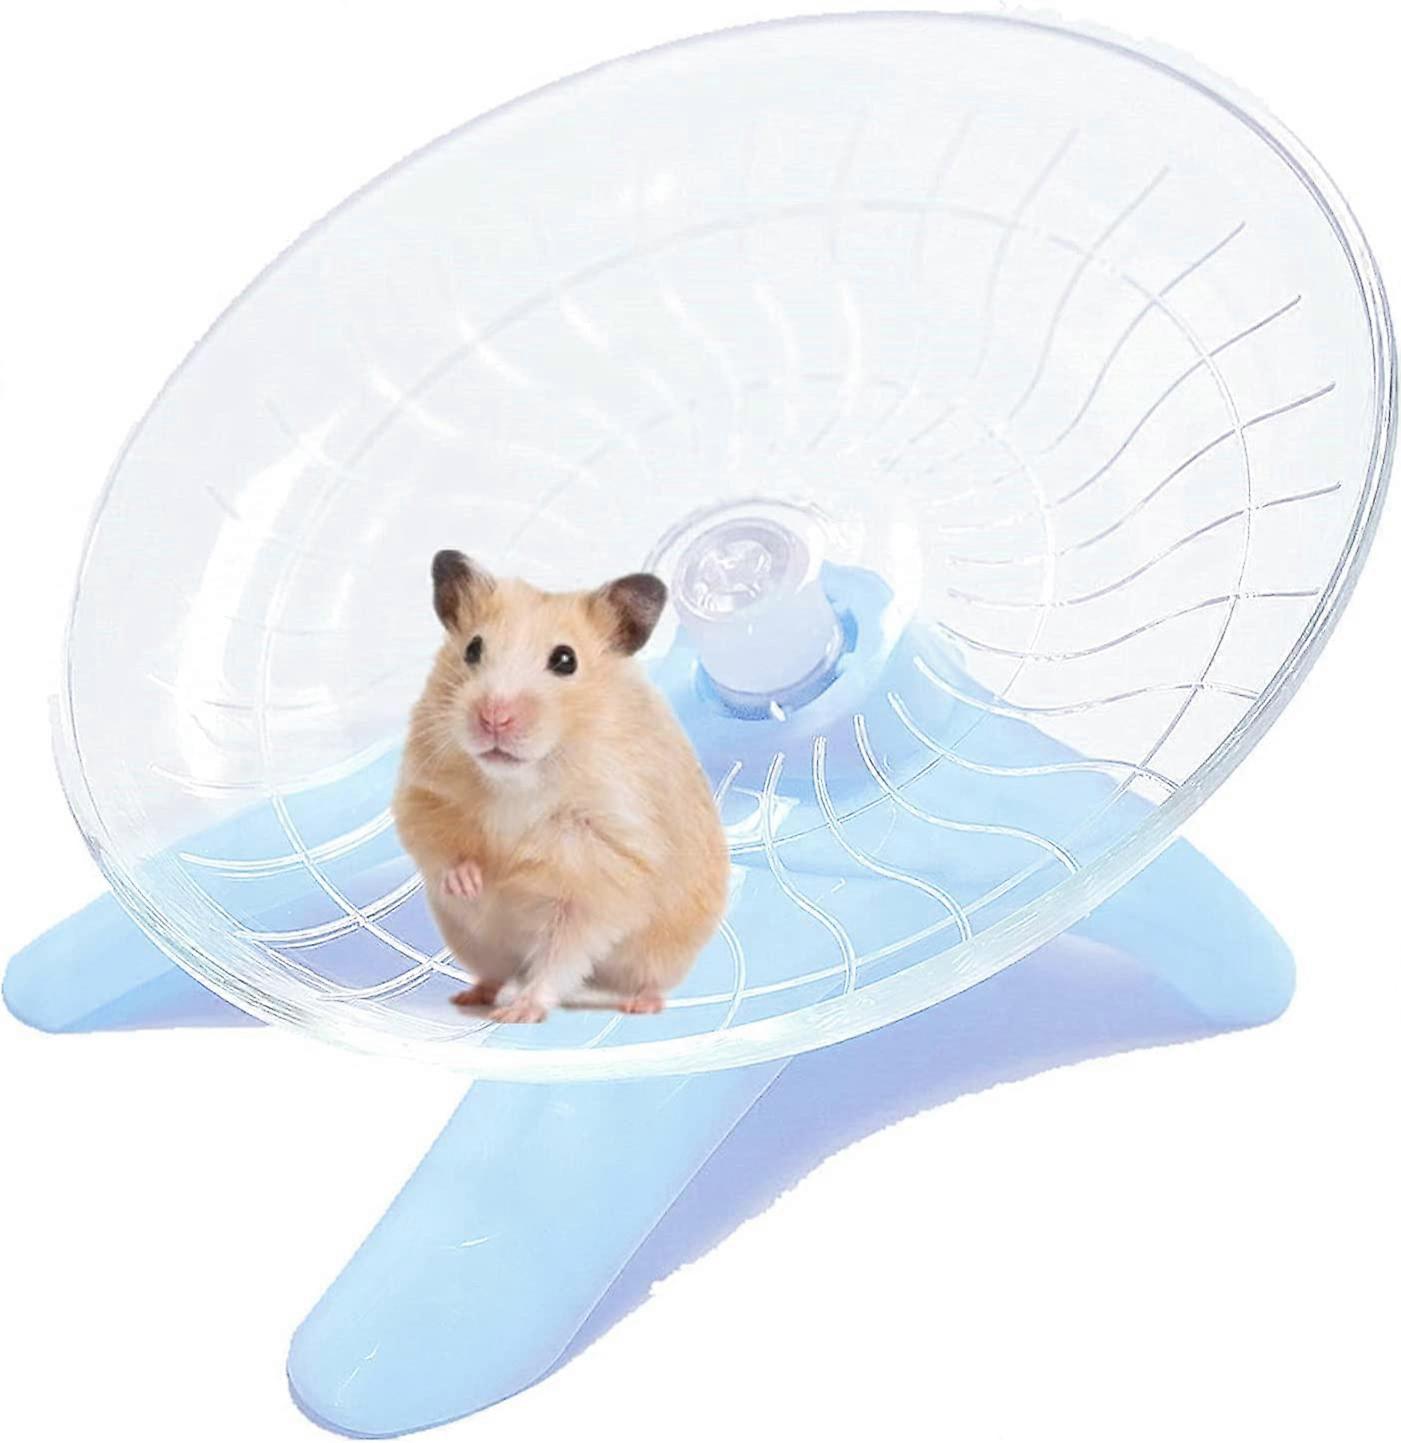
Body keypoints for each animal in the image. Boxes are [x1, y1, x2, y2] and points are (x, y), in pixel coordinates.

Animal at [392, 550, 730, 1023]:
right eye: (473, 649)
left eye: (566, 660)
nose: (493, 717)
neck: (518, 780)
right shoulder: (422, 792)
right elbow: (435, 843)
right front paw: (473, 882)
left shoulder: (604, 870)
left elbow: (561, 953)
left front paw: (520, 1012)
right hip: (475, 944)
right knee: (494, 973)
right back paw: (471, 997)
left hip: (662, 952)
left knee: (639, 979)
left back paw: (639, 1005)